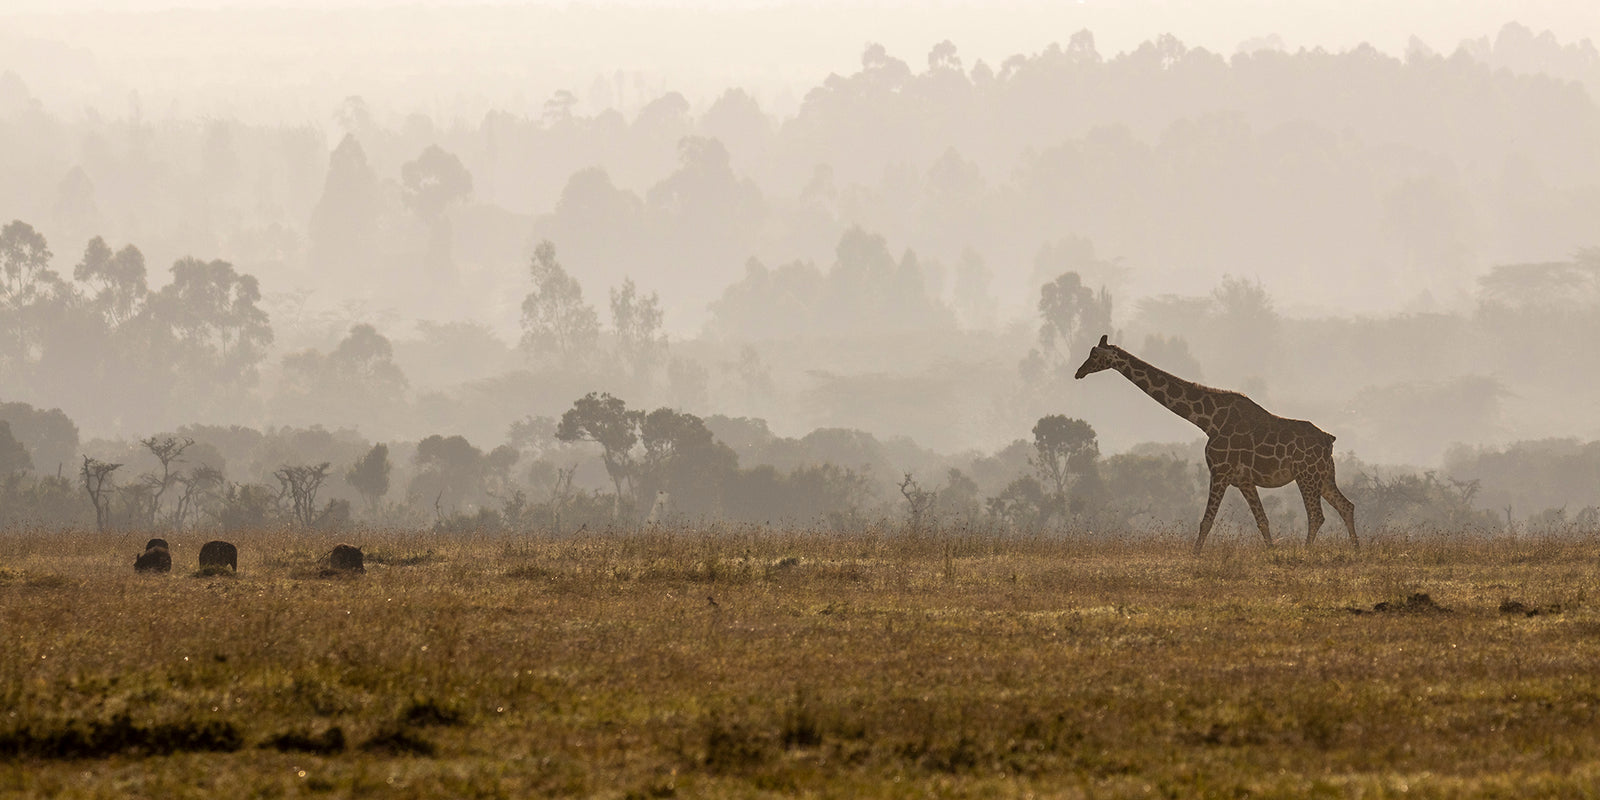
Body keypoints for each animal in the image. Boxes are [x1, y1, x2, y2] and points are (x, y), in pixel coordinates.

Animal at [1074, 335, 1356, 553]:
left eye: (1095, 355)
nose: (1078, 372)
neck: (1207, 419)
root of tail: (1329, 440)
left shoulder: (1219, 472)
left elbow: (1206, 521)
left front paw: (1194, 556)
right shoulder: (1243, 480)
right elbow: (1262, 521)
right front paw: (1272, 554)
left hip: (1306, 475)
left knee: (1317, 515)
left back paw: (1307, 552)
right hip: (1323, 476)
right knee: (1347, 506)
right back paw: (1356, 551)